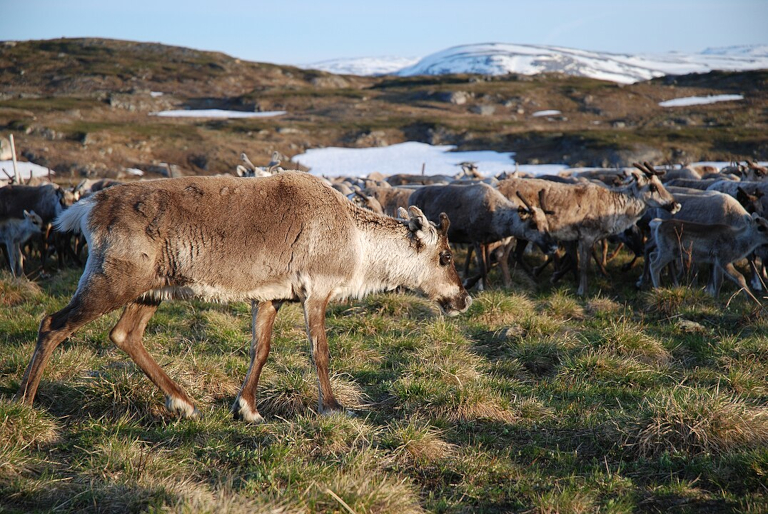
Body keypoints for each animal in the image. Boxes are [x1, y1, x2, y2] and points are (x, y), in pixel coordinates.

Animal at [15, 172, 472, 422]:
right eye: (446, 256)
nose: (464, 299)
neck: (358, 245)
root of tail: (87, 207)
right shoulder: (317, 290)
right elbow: (319, 351)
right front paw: (332, 407)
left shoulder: (271, 296)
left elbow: (261, 349)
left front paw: (247, 408)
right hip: (114, 279)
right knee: (53, 323)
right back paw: (24, 403)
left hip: (150, 289)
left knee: (124, 335)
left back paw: (184, 403)